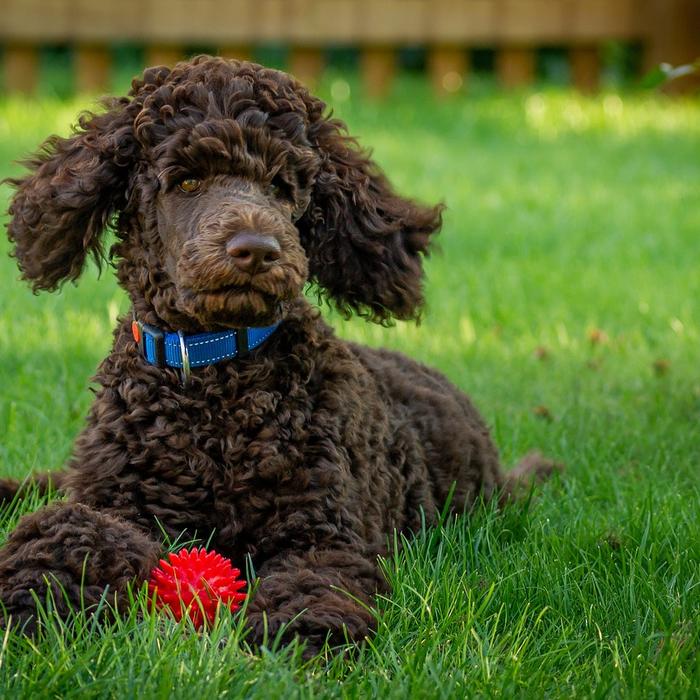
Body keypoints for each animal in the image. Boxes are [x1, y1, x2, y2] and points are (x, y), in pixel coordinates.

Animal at [0, 56, 556, 656]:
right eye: (187, 180)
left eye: (281, 185)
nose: (255, 250)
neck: (214, 379)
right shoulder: (115, 502)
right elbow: (68, 531)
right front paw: (30, 598)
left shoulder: (321, 530)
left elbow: (313, 581)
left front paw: (298, 635)